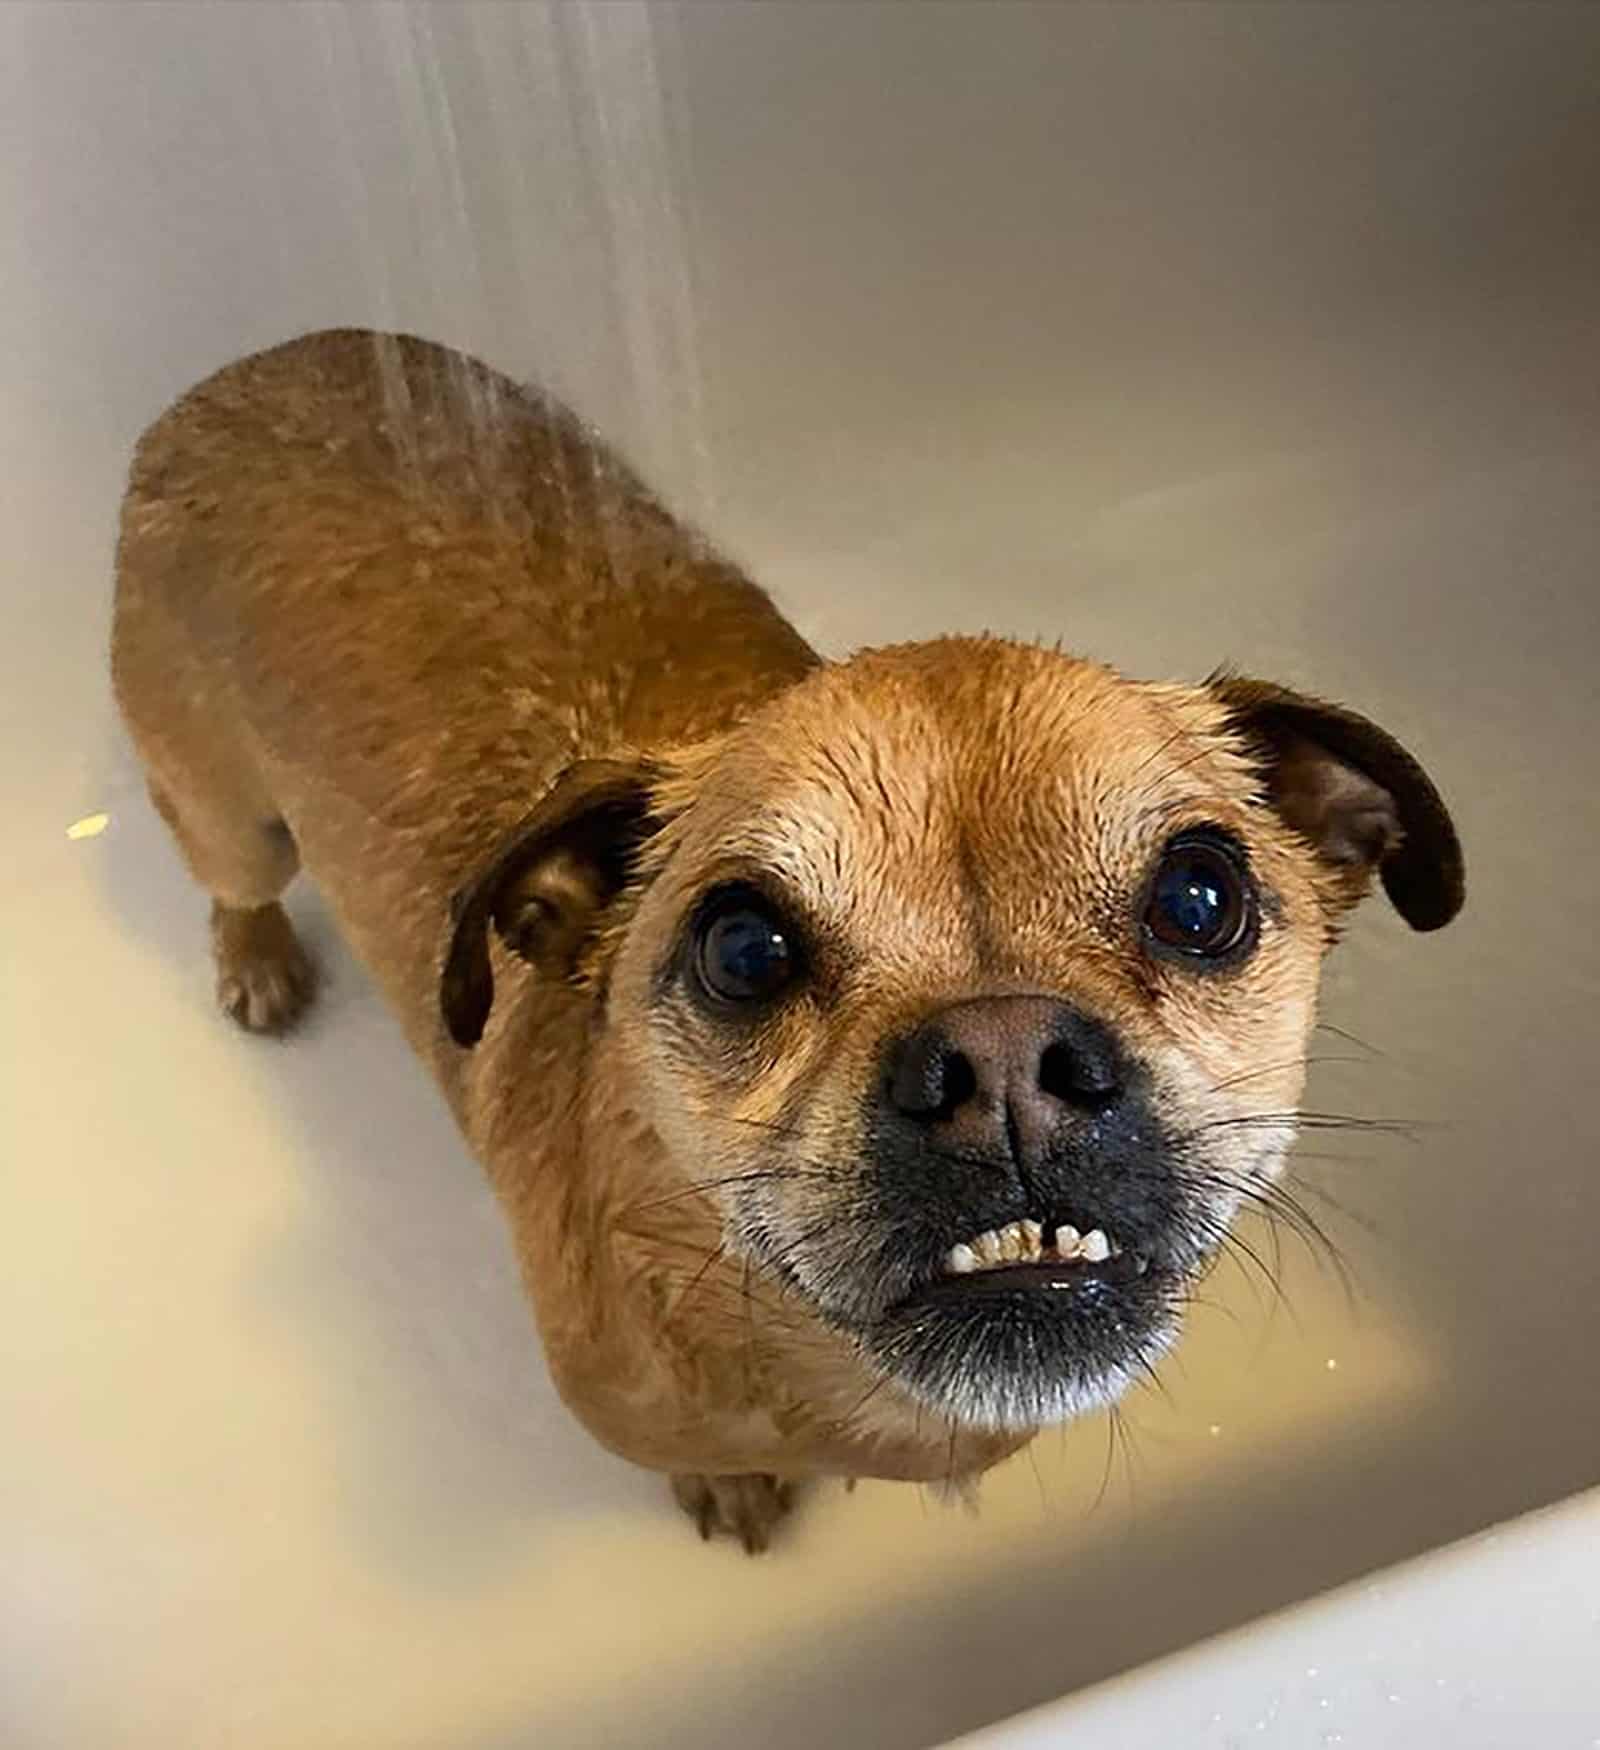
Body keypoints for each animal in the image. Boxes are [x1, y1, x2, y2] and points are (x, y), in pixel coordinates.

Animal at [108, 334, 1456, 1554]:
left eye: (1197, 896)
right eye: (743, 949)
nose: (1001, 1057)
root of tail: (239, 373)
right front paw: (730, 1486)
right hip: (232, 823)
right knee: (235, 881)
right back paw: (257, 965)